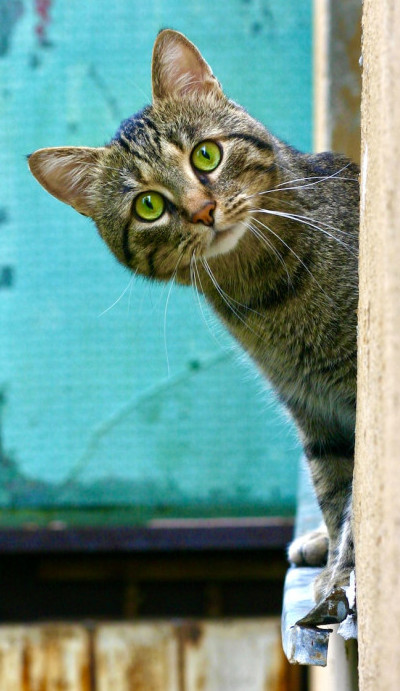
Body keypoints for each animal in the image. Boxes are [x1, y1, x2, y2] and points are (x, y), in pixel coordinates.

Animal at [28, 29, 360, 608]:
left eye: (206, 155)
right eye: (148, 206)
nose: (203, 211)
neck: (264, 293)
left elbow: (359, 506)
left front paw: (340, 579)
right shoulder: (314, 412)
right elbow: (336, 493)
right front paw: (333, 572)